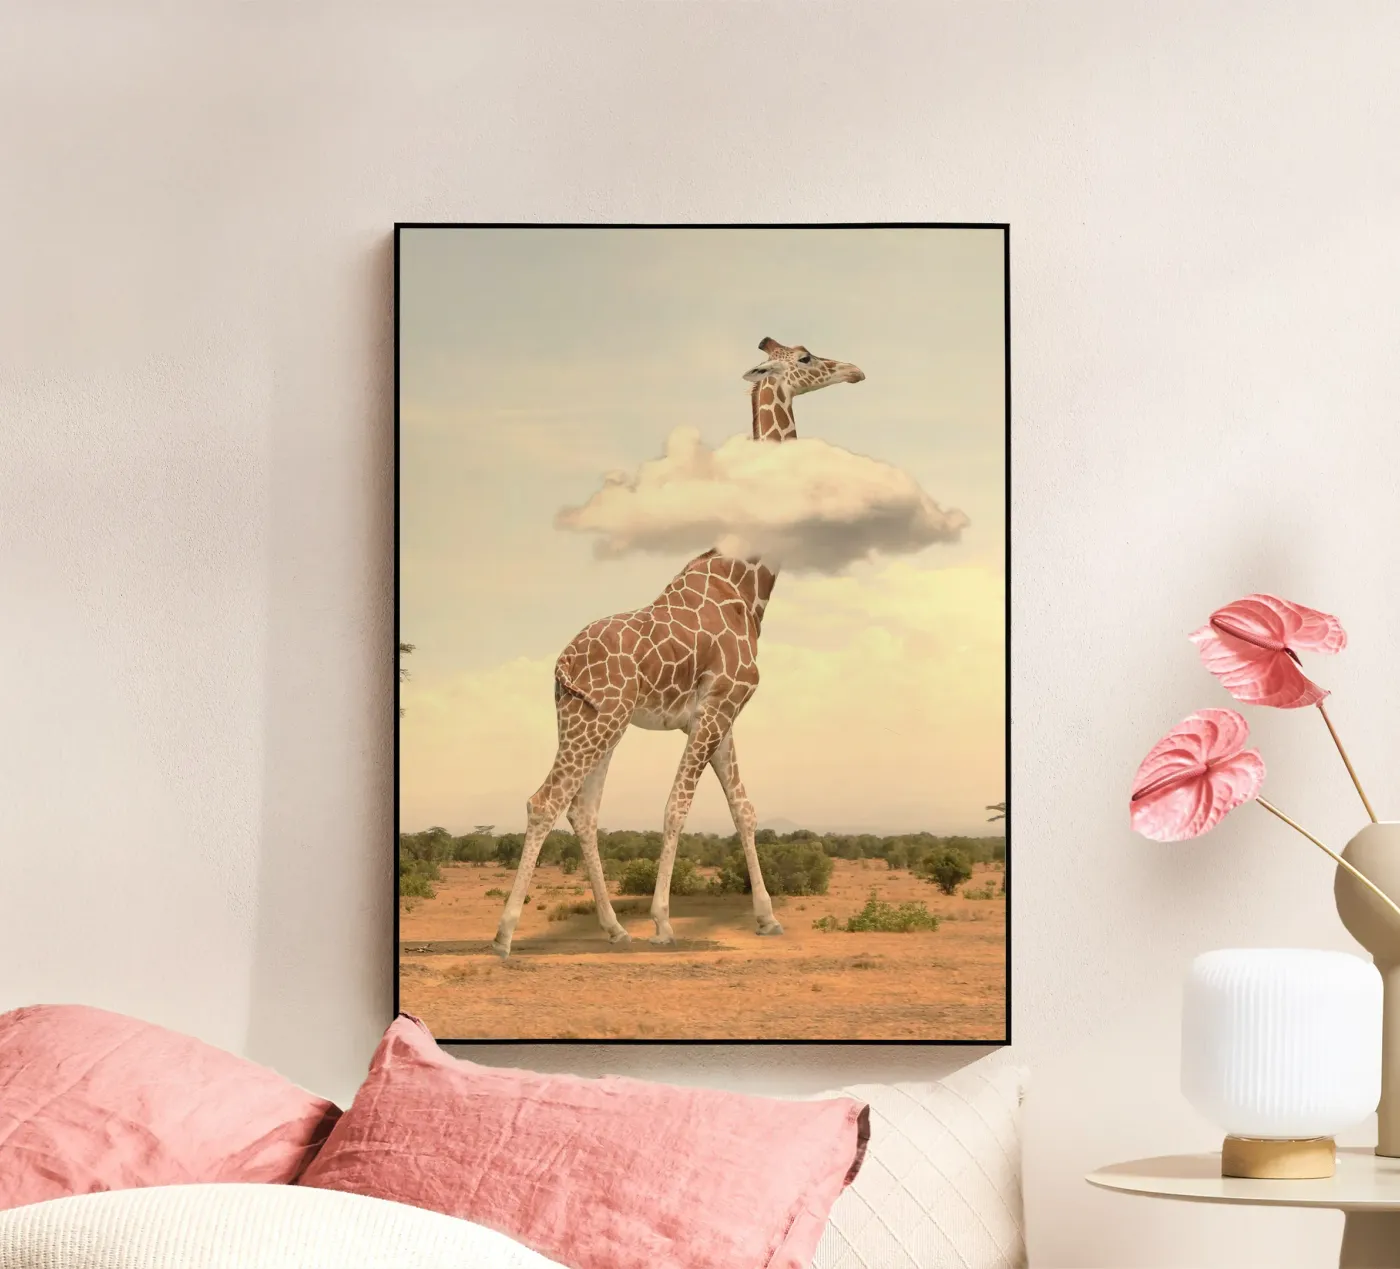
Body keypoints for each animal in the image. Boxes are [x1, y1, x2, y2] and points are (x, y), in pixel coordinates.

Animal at [491, 337, 865, 957]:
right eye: (807, 357)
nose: (855, 371)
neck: (747, 585)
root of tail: (561, 666)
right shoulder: (716, 709)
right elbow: (676, 808)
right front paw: (664, 923)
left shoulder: (720, 715)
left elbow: (744, 809)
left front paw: (767, 918)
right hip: (599, 721)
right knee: (546, 800)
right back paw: (505, 935)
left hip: (591, 721)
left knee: (582, 810)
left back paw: (615, 929)